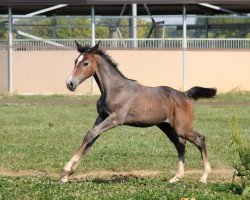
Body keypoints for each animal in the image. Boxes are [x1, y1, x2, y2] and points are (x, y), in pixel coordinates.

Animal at [61, 41, 217, 184]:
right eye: (76, 61)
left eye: (86, 63)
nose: (70, 84)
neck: (115, 89)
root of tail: (184, 94)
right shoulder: (101, 117)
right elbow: (91, 139)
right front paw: (66, 175)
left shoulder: (116, 119)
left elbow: (90, 134)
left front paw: (66, 169)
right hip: (167, 127)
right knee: (180, 145)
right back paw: (176, 177)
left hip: (182, 128)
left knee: (200, 139)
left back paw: (203, 177)